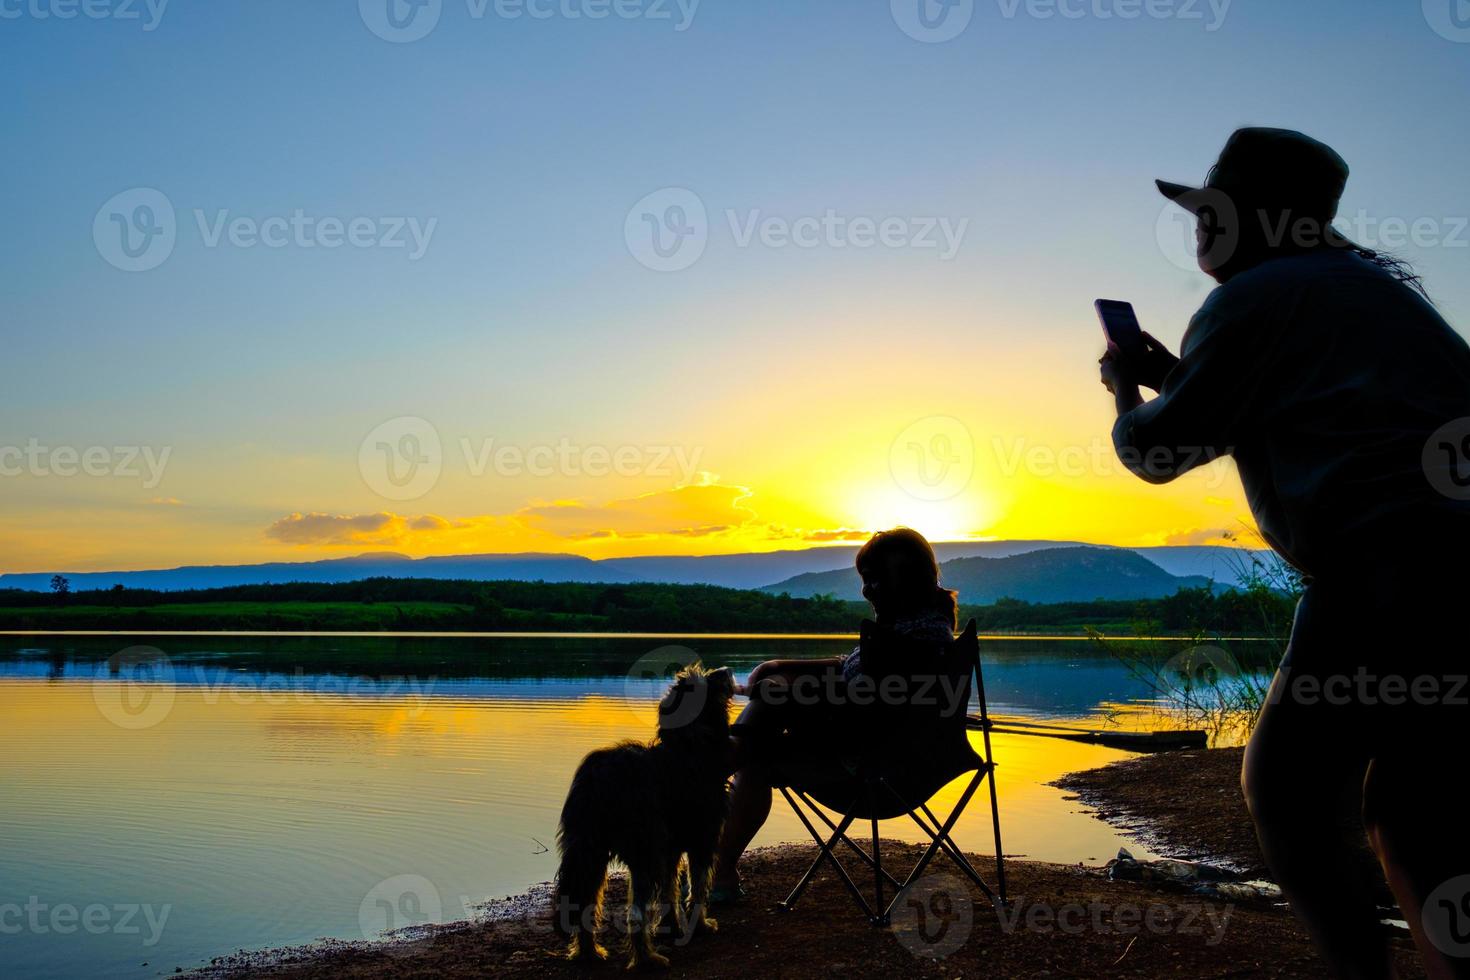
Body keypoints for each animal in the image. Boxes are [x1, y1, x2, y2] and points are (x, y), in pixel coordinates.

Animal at [552, 664, 735, 969]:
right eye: (705, 681)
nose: (727, 669)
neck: (688, 746)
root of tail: (598, 777)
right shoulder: (702, 840)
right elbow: (697, 888)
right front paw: (700, 926)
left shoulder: (671, 849)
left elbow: (670, 891)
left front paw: (673, 926)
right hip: (643, 851)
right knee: (635, 914)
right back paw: (646, 959)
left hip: (588, 850)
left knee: (584, 902)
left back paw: (589, 952)